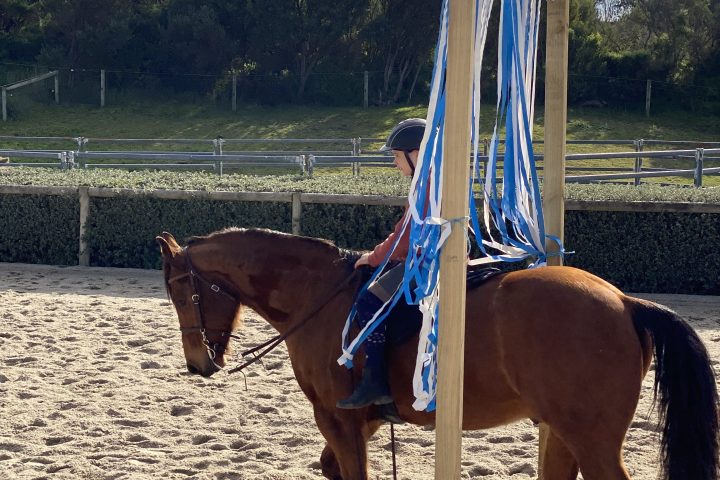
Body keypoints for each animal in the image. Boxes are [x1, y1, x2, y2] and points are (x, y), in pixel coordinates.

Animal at [156, 227, 719, 480]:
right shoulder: (363, 422)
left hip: (590, 438)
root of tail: (625, 301)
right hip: (563, 431)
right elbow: (331, 468)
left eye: (181, 292)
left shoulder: (337, 418)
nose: (197, 364)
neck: (319, 296)